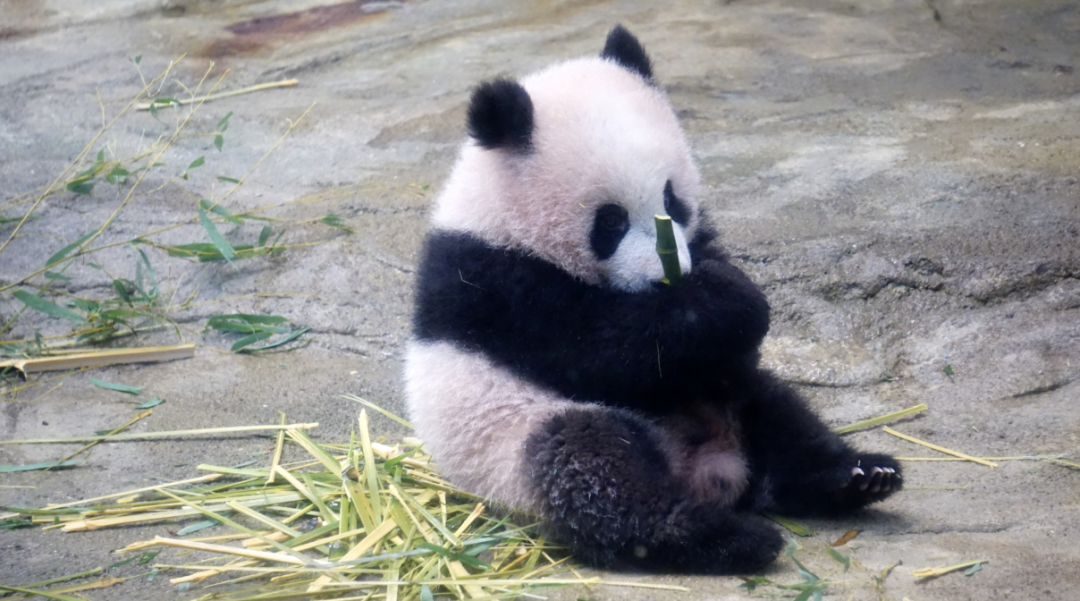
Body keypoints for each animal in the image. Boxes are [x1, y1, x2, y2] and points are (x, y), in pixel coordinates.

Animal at [405, 26, 901, 574]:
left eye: (671, 199)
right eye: (610, 221)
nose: (667, 275)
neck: (498, 213)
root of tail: (711, 473)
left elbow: (714, 349)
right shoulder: (498, 284)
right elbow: (600, 350)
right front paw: (729, 299)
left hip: (732, 407)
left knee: (774, 412)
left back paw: (857, 476)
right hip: (513, 436)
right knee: (594, 471)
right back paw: (724, 537)